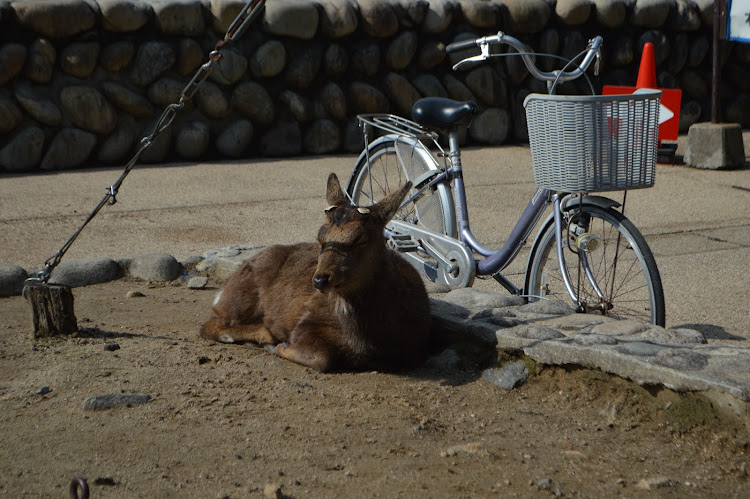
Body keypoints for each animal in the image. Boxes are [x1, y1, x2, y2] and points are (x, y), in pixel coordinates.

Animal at [201, 172, 434, 372]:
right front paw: (278, 346)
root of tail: (225, 286)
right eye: (320, 237)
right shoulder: (307, 321)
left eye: (361, 239)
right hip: (241, 295)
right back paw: (262, 335)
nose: (320, 280)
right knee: (209, 325)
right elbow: (322, 358)